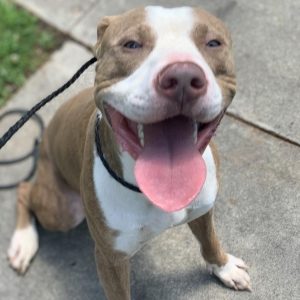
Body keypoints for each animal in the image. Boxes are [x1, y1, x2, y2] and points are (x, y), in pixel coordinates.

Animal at [7, 5, 251, 298]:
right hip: (62, 209)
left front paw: (224, 267)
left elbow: (210, 241)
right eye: (131, 44)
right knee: (24, 190)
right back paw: (23, 242)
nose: (182, 77)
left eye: (213, 43)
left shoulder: (203, 211)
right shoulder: (110, 259)